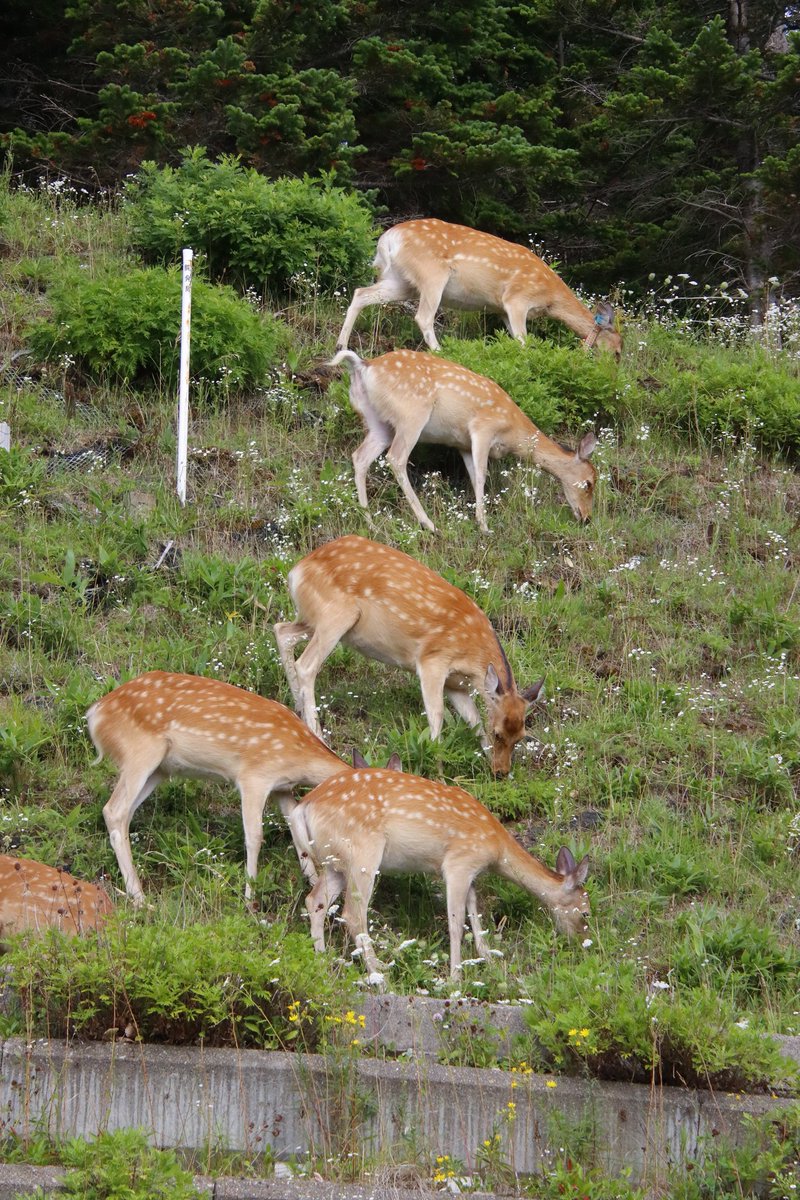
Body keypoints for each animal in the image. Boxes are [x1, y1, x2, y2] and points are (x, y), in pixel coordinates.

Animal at [86, 670, 371, 905]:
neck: (299, 753)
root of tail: (95, 713)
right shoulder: (254, 776)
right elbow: (254, 837)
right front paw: (249, 899)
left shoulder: (282, 788)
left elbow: (298, 832)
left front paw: (313, 882)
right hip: (140, 754)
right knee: (114, 810)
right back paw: (140, 899)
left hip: (159, 769)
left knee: (124, 814)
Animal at [273, 535, 543, 777]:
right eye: (498, 732)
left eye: (521, 736)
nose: (501, 772)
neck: (472, 656)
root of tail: (296, 571)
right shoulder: (432, 661)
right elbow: (437, 717)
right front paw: (437, 770)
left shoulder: (456, 685)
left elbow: (473, 719)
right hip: (336, 615)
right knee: (306, 664)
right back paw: (318, 735)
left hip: (318, 620)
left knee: (282, 631)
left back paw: (297, 713)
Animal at [288, 768, 590, 983]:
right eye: (586, 912)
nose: (581, 942)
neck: (497, 848)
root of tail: (303, 806)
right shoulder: (459, 863)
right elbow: (456, 923)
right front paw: (456, 977)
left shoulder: (470, 872)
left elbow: (475, 912)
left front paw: (487, 958)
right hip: (363, 852)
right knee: (353, 914)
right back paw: (378, 973)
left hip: (335, 862)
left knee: (315, 900)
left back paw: (322, 961)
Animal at [330, 347, 598, 530]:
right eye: (589, 483)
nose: (586, 517)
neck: (513, 432)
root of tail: (364, 366)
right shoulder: (482, 428)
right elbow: (481, 477)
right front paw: (485, 526)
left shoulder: (463, 444)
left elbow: (473, 476)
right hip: (412, 413)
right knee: (396, 458)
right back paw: (428, 524)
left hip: (378, 422)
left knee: (360, 457)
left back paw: (370, 521)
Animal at [336, 217, 622, 360]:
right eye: (618, 350)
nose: (613, 371)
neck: (550, 298)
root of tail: (387, 239)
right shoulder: (516, 299)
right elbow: (523, 341)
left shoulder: (503, 310)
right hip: (431, 274)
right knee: (423, 316)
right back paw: (442, 352)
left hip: (402, 281)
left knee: (361, 294)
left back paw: (341, 345)